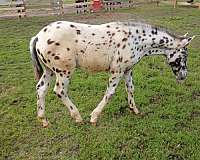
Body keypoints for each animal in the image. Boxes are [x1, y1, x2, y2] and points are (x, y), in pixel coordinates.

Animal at [29, 20, 194, 127]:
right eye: (184, 55)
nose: (183, 76)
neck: (137, 39)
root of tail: (38, 36)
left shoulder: (127, 70)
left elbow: (130, 89)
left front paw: (135, 110)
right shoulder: (117, 70)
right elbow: (110, 93)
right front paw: (94, 117)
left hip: (50, 70)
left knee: (41, 89)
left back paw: (44, 121)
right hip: (64, 71)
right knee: (59, 91)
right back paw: (78, 117)